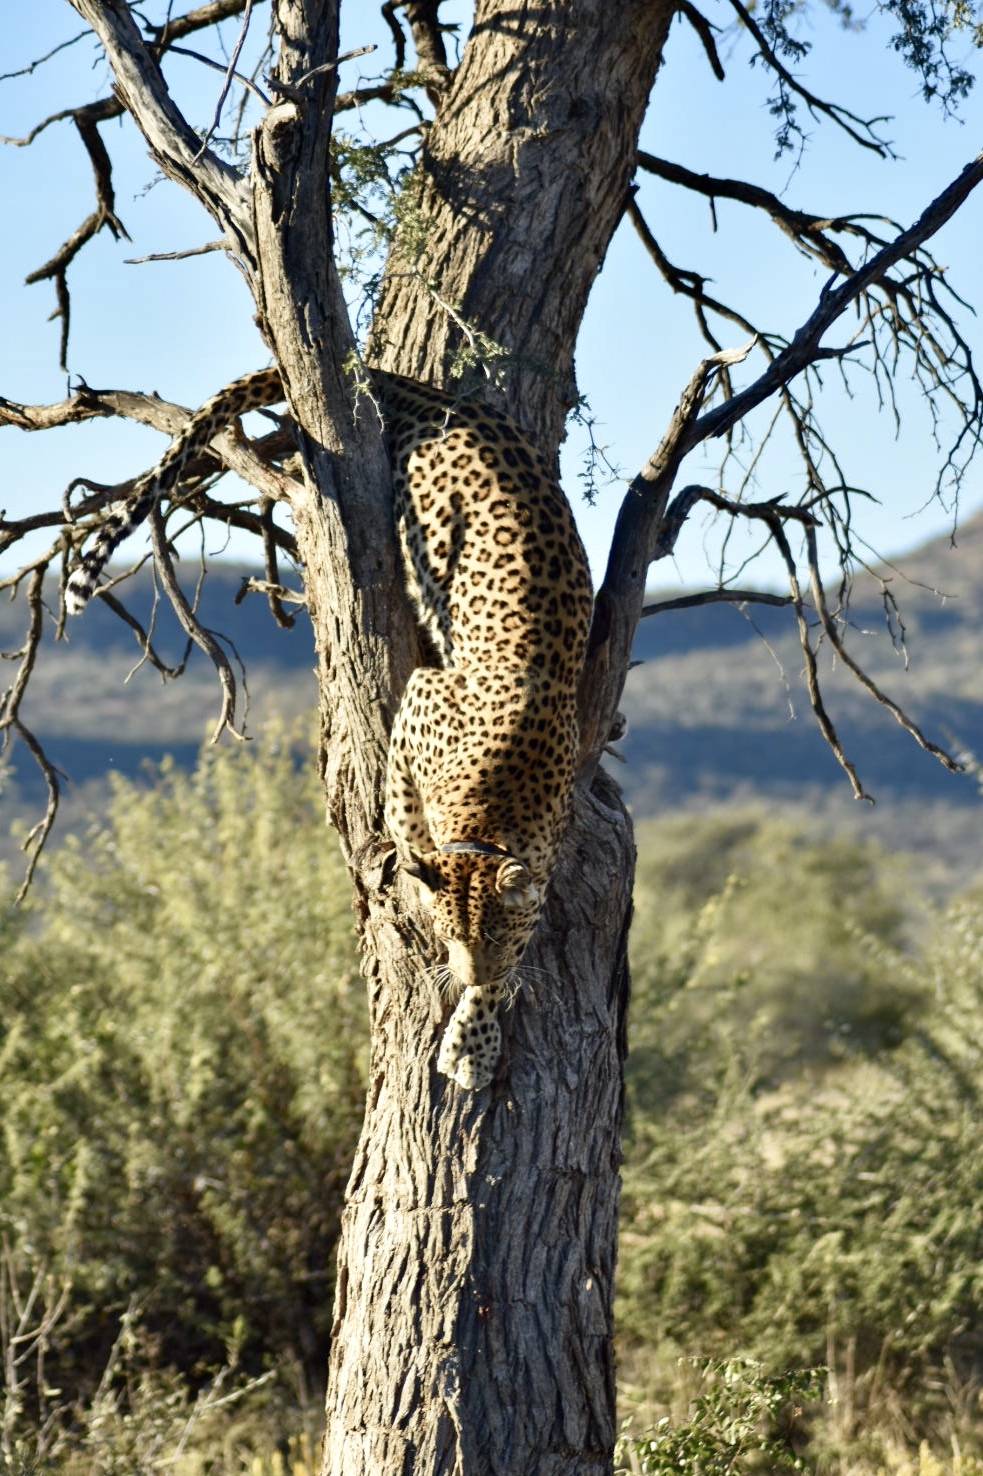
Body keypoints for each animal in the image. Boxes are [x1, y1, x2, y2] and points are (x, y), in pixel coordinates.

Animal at [69, 364, 593, 1092]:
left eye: (494, 938)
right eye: (452, 935)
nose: (467, 968)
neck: (491, 808)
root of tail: (422, 391)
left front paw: (474, 1037)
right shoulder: (417, 704)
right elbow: (402, 818)